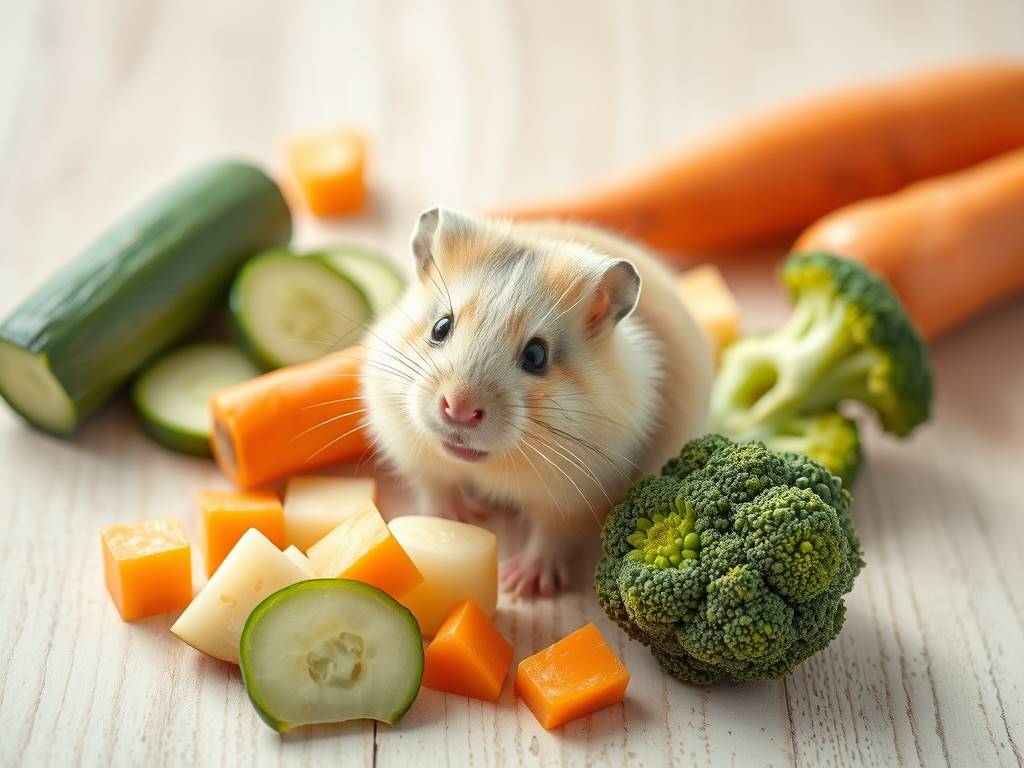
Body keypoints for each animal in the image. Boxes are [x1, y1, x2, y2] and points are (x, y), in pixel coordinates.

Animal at [361, 208, 712, 597]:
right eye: (441, 327)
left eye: (536, 356)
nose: (459, 410)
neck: (488, 464)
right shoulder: (415, 453)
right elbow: (438, 487)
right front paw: (452, 520)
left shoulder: (572, 496)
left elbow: (551, 536)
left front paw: (520, 585)